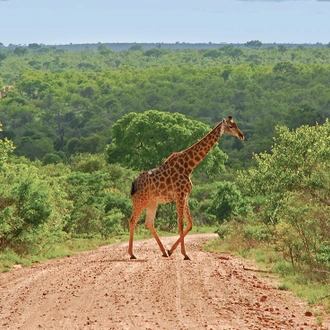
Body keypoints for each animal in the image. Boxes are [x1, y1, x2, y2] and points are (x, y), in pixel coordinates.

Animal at [127, 116, 244, 260]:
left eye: (236, 124)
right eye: (231, 126)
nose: (241, 135)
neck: (189, 166)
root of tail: (134, 184)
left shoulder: (186, 195)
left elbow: (190, 224)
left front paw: (171, 250)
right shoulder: (180, 194)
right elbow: (181, 224)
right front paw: (185, 254)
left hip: (152, 202)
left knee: (149, 223)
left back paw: (163, 252)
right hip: (140, 200)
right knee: (132, 220)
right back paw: (132, 254)